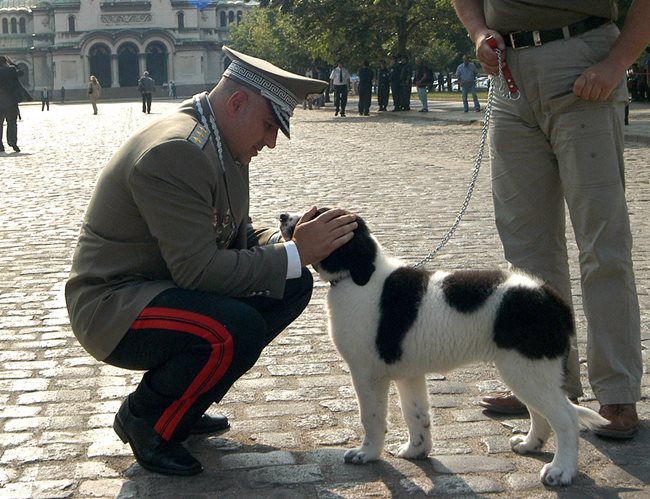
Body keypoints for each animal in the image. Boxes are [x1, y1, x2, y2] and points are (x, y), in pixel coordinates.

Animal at [280, 210, 608, 488]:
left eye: (313, 215)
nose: (282, 216)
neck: (360, 275)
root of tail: (551, 299)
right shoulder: (408, 374)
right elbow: (415, 414)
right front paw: (416, 450)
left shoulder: (366, 373)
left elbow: (372, 418)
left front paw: (367, 454)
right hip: (527, 370)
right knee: (541, 412)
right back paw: (529, 445)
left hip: (527, 367)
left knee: (565, 417)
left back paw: (561, 471)